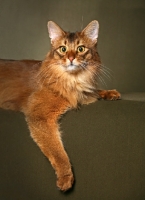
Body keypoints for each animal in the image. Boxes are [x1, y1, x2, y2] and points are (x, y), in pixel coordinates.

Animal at [0, 20, 120, 192]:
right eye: (63, 49)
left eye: (80, 48)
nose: (70, 58)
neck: (73, 80)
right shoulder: (39, 116)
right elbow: (57, 151)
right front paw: (65, 177)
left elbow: (94, 91)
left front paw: (109, 93)